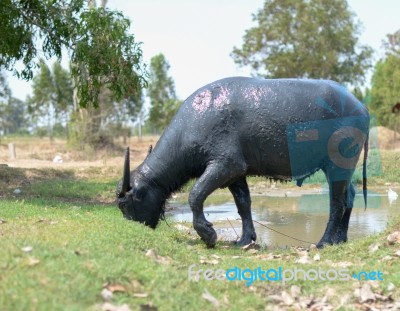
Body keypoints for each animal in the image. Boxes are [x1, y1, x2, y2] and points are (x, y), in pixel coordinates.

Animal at [115, 77, 368, 249]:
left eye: (125, 204)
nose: (134, 228)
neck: (191, 127)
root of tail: (360, 107)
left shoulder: (226, 165)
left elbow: (195, 194)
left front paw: (208, 235)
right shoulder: (236, 174)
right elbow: (243, 204)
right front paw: (245, 239)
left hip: (337, 166)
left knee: (336, 202)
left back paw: (324, 241)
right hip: (342, 168)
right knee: (349, 196)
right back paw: (341, 238)